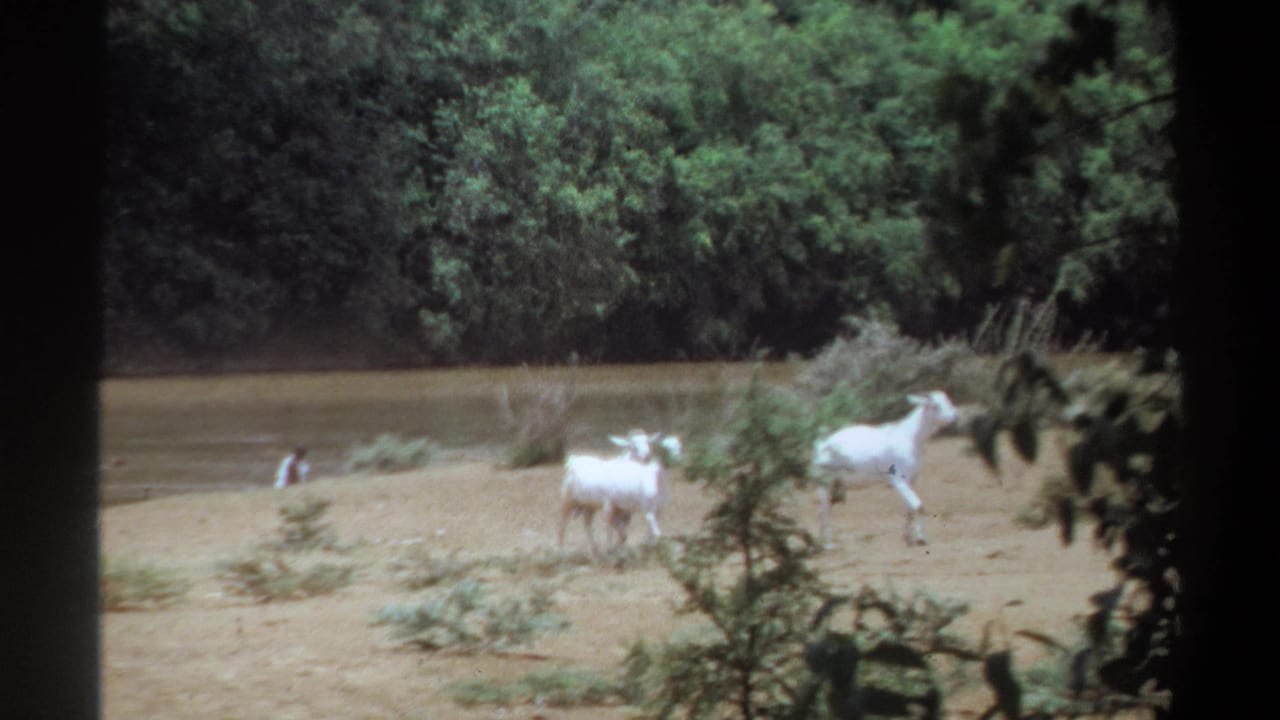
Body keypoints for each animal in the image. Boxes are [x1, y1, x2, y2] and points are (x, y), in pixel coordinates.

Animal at [812, 391, 958, 547]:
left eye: (948, 400)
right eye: (935, 405)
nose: (955, 417)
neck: (909, 437)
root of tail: (822, 445)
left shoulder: (912, 479)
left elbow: (909, 508)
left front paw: (908, 538)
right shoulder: (898, 479)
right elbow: (918, 506)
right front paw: (921, 539)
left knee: (825, 508)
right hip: (825, 481)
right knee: (824, 510)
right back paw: (828, 545)